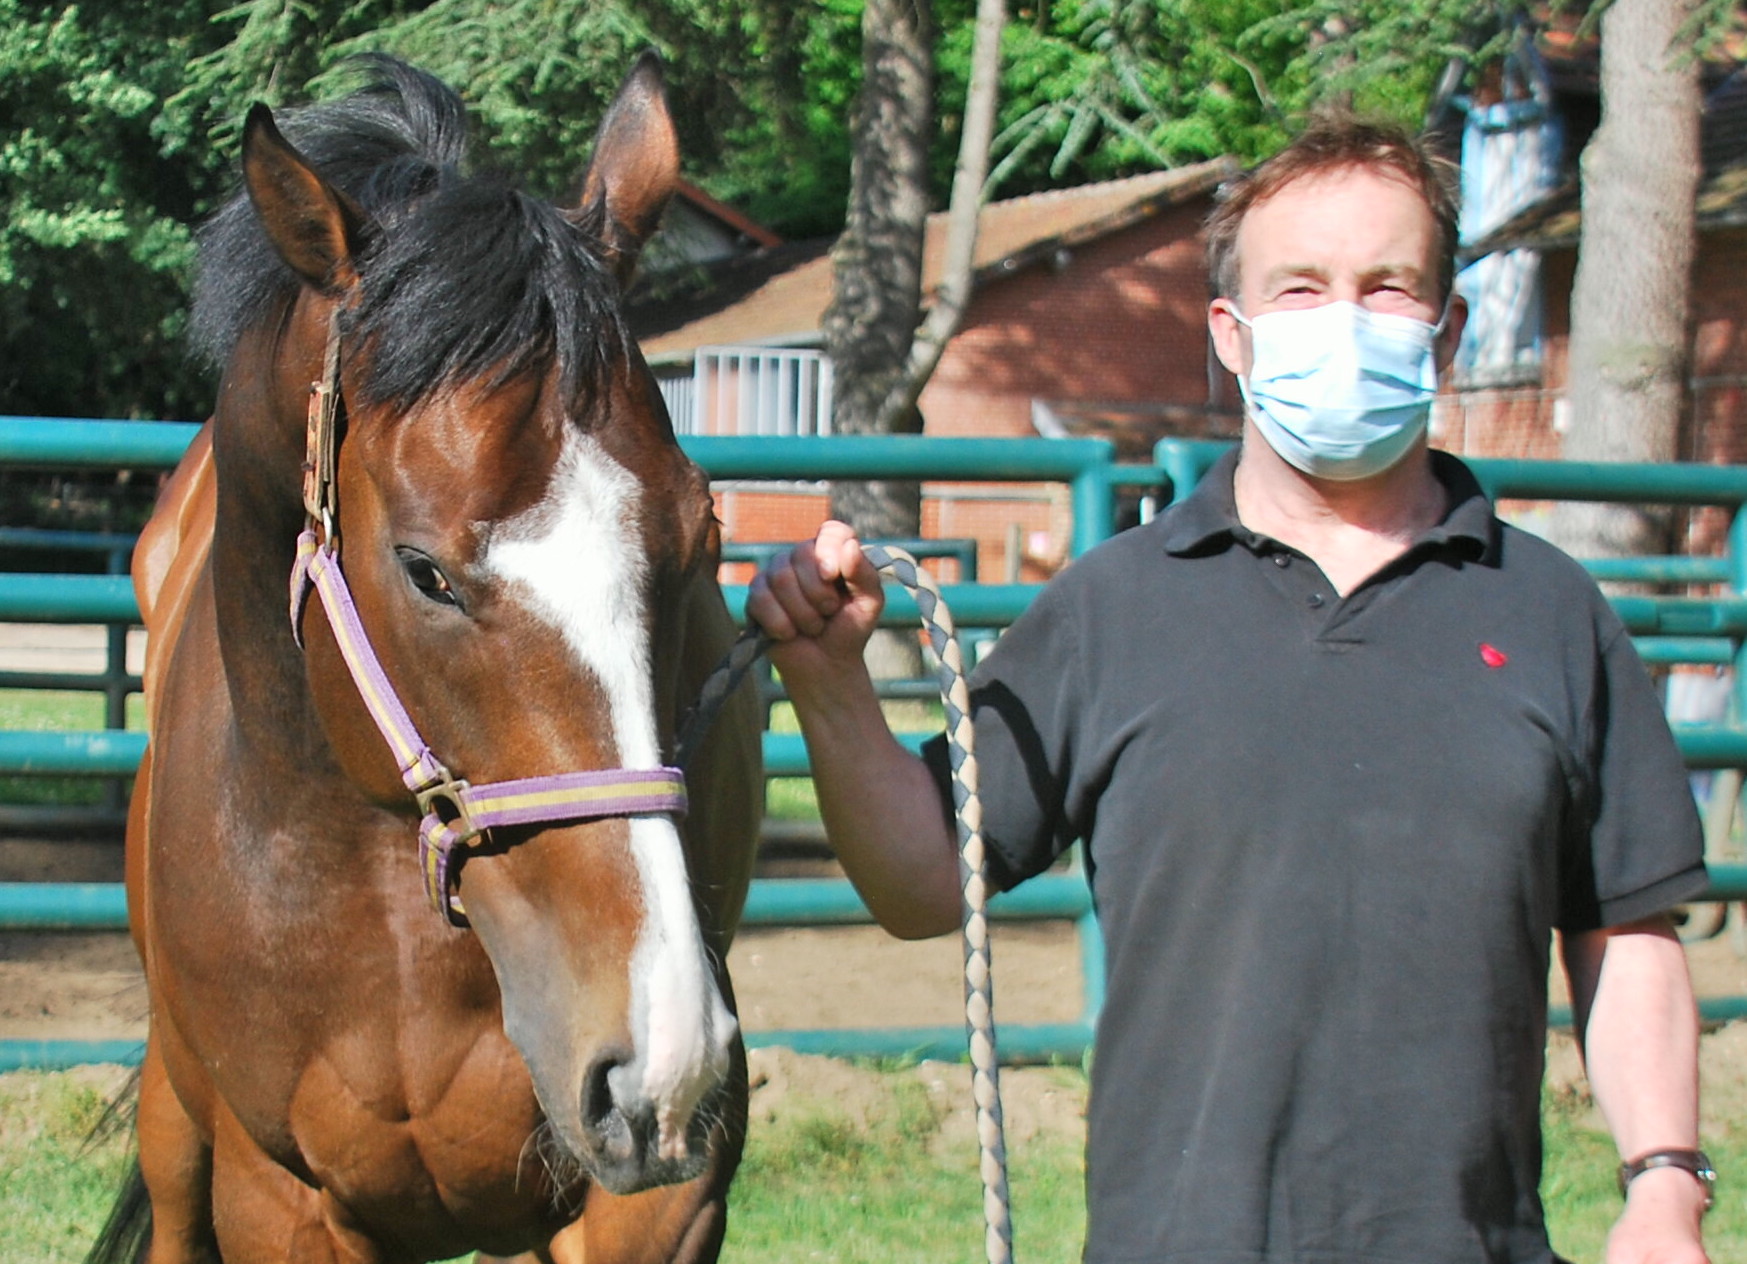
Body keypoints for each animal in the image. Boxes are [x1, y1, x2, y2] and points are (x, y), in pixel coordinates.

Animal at [86, 51, 758, 1264]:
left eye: (702, 539)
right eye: (423, 570)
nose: (663, 1053)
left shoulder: (659, 1202)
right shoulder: (279, 1198)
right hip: (178, 1120)